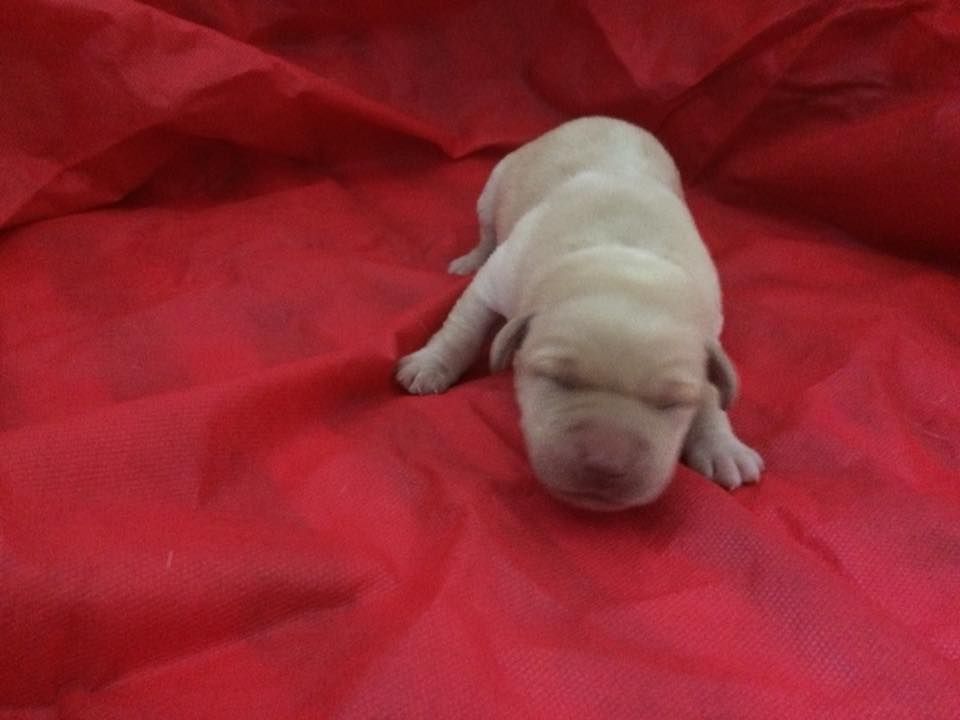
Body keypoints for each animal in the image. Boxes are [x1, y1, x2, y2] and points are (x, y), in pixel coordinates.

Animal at [396, 117, 763, 511]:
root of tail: (603, 118)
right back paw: (469, 260)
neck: (625, 256)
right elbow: (462, 329)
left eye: (672, 403)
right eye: (559, 380)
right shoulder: (497, 279)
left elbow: (711, 390)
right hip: (494, 187)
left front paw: (722, 445)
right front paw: (429, 365)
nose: (607, 461)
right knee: (487, 235)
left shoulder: (709, 331)